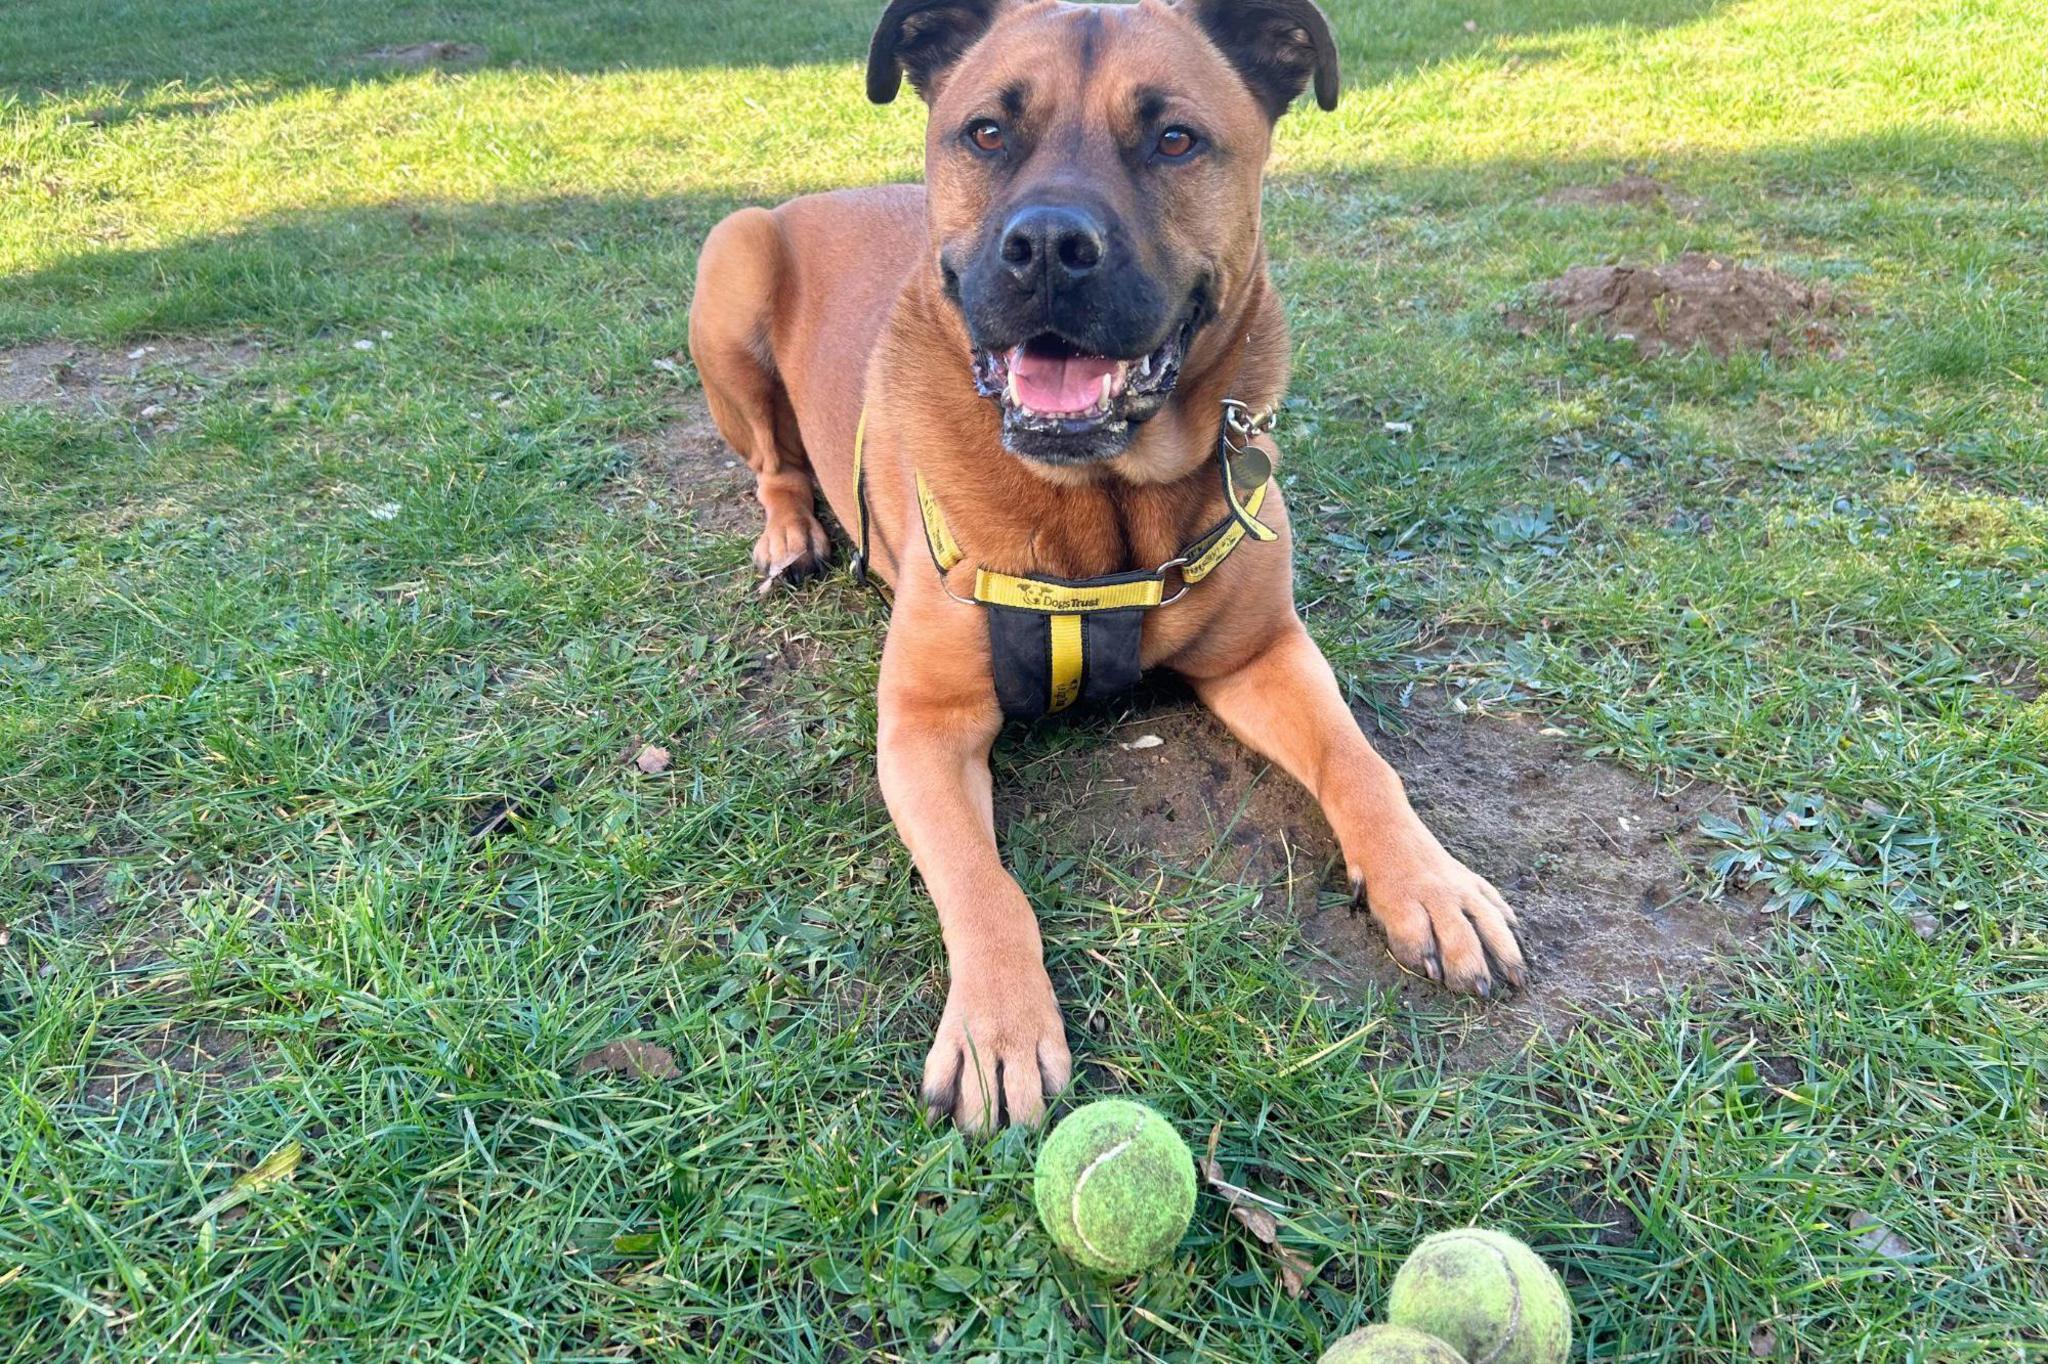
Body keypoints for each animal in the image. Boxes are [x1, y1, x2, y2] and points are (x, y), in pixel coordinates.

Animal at [688, 0, 1523, 1122]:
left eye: (1173, 138)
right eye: (986, 132)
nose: (1046, 245)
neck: (1103, 502)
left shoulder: (1263, 653)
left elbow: (1360, 761)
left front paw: (1431, 883)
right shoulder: (922, 728)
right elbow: (984, 881)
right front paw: (1000, 1023)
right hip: (729, 267)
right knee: (772, 463)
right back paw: (789, 533)